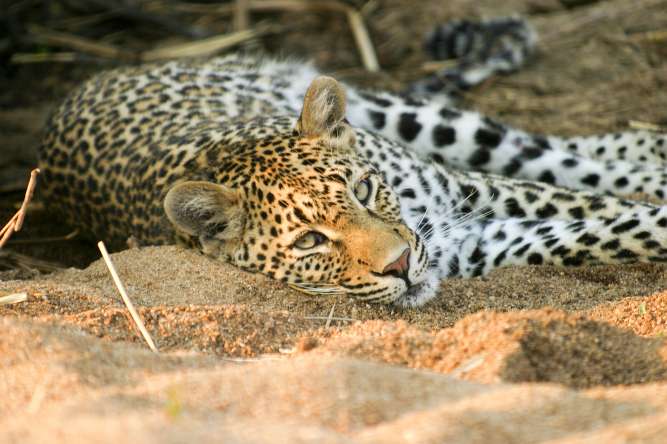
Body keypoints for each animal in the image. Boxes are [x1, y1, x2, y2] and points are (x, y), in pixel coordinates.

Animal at [38, 20, 667, 307]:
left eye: (363, 191)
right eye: (310, 242)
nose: (401, 266)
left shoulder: (479, 193)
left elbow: (609, 203)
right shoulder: (479, 245)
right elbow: (610, 232)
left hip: (405, 119)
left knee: (552, 150)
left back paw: (652, 156)